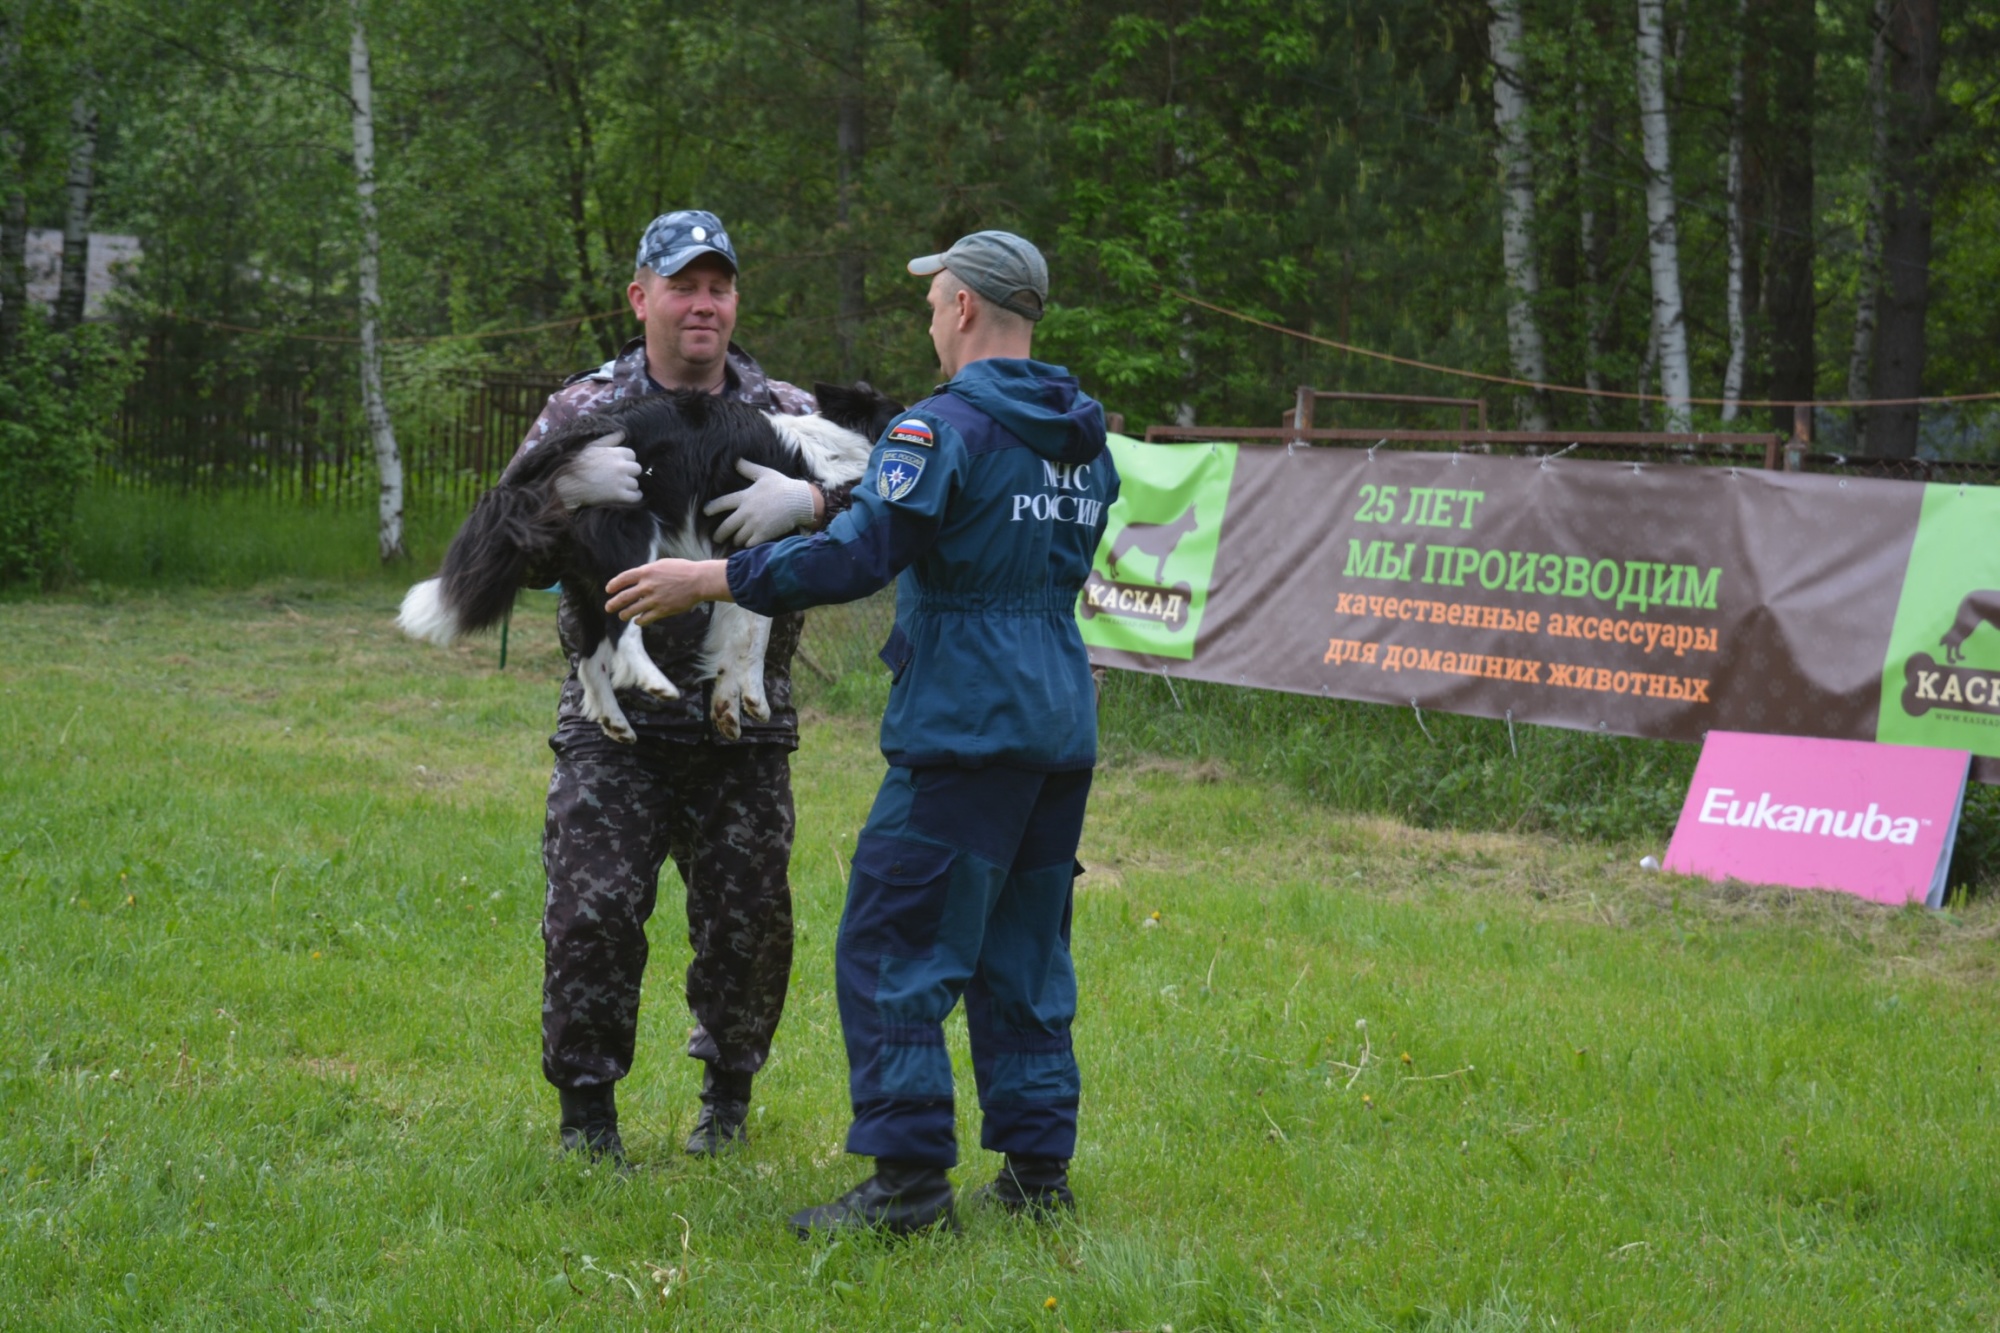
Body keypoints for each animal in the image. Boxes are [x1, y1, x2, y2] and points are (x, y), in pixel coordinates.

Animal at [402, 382, 904, 736]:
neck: (834, 447)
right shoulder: (753, 546)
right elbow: (755, 633)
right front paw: (755, 699)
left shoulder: (731, 565)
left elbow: (731, 634)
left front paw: (726, 708)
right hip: (631, 544)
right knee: (623, 629)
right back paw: (654, 681)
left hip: (586, 582)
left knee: (589, 657)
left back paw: (616, 722)